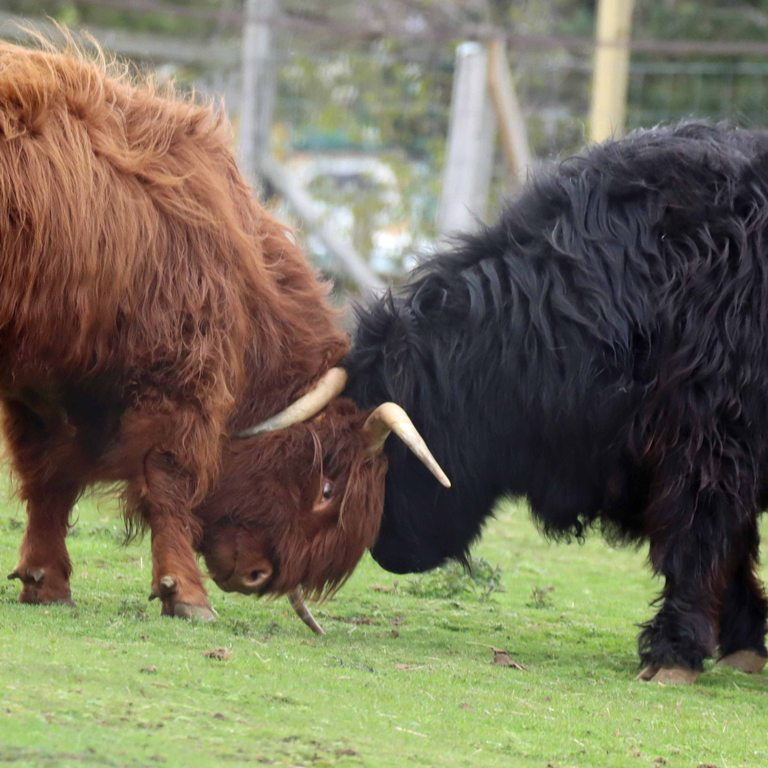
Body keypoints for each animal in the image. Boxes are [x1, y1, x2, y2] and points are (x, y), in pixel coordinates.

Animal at [0, 39, 444, 631]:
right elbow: (168, 481)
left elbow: (49, 478)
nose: (257, 576)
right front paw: (186, 593)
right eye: (326, 488)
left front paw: (46, 582)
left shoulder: (46, 385)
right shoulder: (177, 380)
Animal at [226, 122, 768, 681]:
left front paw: (673, 651)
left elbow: (698, 539)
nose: (386, 550)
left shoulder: (707, 444)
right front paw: (743, 642)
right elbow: (731, 546)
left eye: (388, 460)